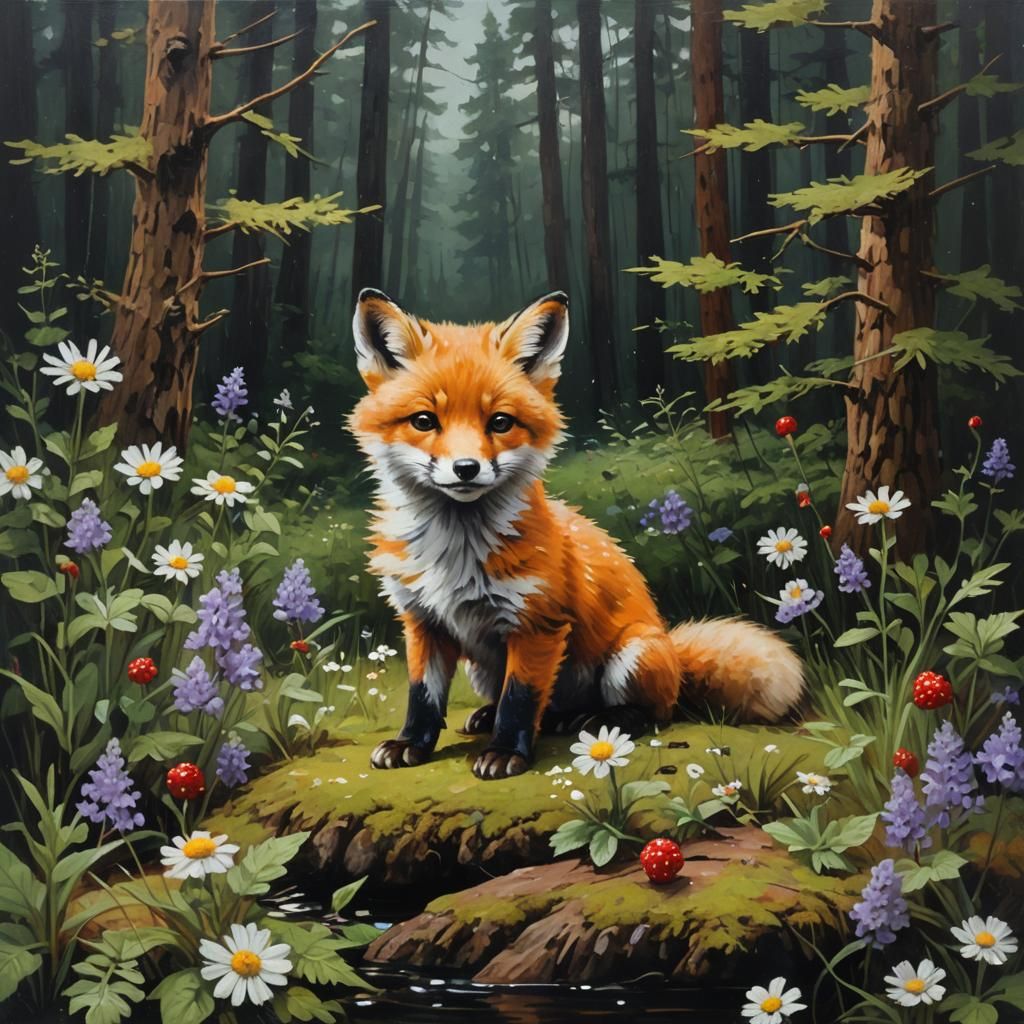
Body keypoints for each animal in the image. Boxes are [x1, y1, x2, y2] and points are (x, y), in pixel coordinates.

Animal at [348, 288, 804, 780]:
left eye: (500, 422)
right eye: (424, 420)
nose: (466, 468)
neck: (455, 552)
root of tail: (673, 652)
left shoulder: (538, 623)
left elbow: (520, 699)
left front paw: (505, 752)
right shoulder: (422, 622)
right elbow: (423, 697)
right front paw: (411, 744)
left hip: (629, 659)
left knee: (652, 712)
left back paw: (595, 719)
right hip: (482, 668)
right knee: (539, 708)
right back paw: (499, 717)